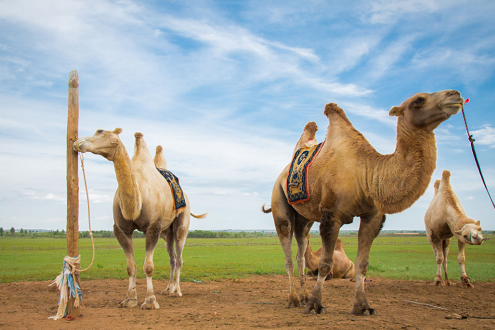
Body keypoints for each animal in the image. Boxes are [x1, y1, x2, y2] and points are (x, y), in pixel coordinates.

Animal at [72, 129, 206, 310]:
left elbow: (148, 267)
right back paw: (168, 288)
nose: (78, 142)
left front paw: (150, 301)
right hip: (166, 232)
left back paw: (176, 291)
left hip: (181, 225)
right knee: (171, 257)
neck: (139, 196)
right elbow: (130, 267)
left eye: (101, 132)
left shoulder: (152, 226)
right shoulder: (122, 230)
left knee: (179, 257)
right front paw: (130, 299)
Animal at [264, 89, 464, 314]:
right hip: (279, 202)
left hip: (304, 218)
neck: (366, 173)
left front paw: (363, 307)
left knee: (300, 249)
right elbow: (325, 263)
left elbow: (363, 264)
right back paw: (293, 299)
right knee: (288, 251)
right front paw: (315, 305)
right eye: (418, 100)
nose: (455, 94)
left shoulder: (372, 216)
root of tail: (282, 175)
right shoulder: (331, 215)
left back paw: (303, 295)